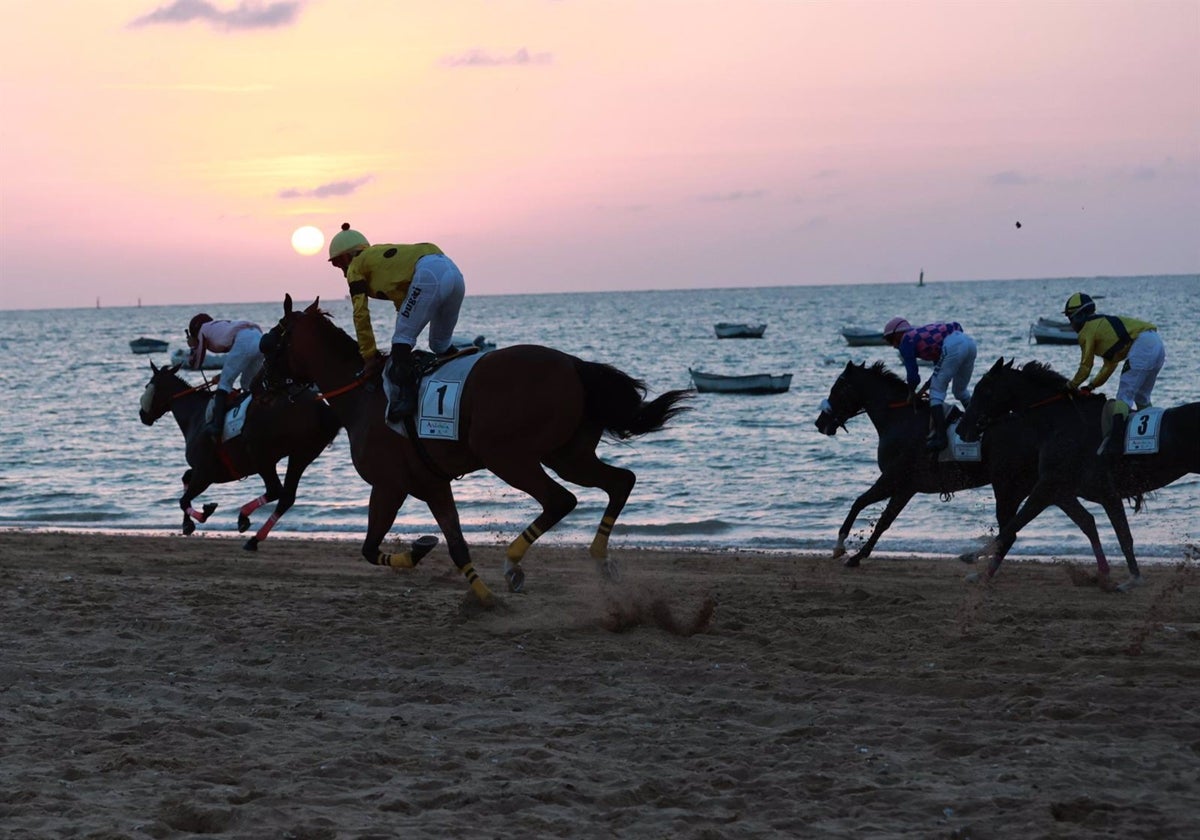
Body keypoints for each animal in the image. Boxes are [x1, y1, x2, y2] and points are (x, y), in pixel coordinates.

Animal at [139, 362, 343, 552]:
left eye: (148, 385)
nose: (142, 415)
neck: (195, 415)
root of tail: (321, 407)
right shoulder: (209, 471)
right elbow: (185, 479)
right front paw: (187, 523)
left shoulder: (205, 473)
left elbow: (183, 499)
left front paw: (203, 513)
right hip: (301, 455)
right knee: (286, 497)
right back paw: (254, 538)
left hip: (262, 455)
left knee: (275, 490)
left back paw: (244, 517)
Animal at [262, 295, 696, 604]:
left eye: (270, 342)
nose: (261, 383)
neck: (363, 396)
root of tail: (574, 364)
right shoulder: (429, 485)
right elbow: (453, 545)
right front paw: (478, 594)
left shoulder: (390, 486)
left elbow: (374, 548)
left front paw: (427, 557)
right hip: (568, 455)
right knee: (621, 482)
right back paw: (599, 559)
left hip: (507, 456)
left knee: (561, 499)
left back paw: (513, 565)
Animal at [816, 357, 1123, 573]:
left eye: (838, 388)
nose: (820, 422)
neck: (900, 419)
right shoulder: (905, 487)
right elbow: (882, 519)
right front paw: (855, 553)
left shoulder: (893, 479)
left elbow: (863, 506)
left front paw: (843, 549)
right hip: (1043, 485)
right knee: (1065, 521)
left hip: (1010, 485)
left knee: (1012, 528)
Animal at [955, 357, 1200, 588]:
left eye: (984, 390)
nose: (961, 428)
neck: (1061, 423)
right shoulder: (1079, 491)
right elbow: (1111, 530)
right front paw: (1123, 577)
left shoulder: (1049, 485)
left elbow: (1015, 523)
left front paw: (973, 556)